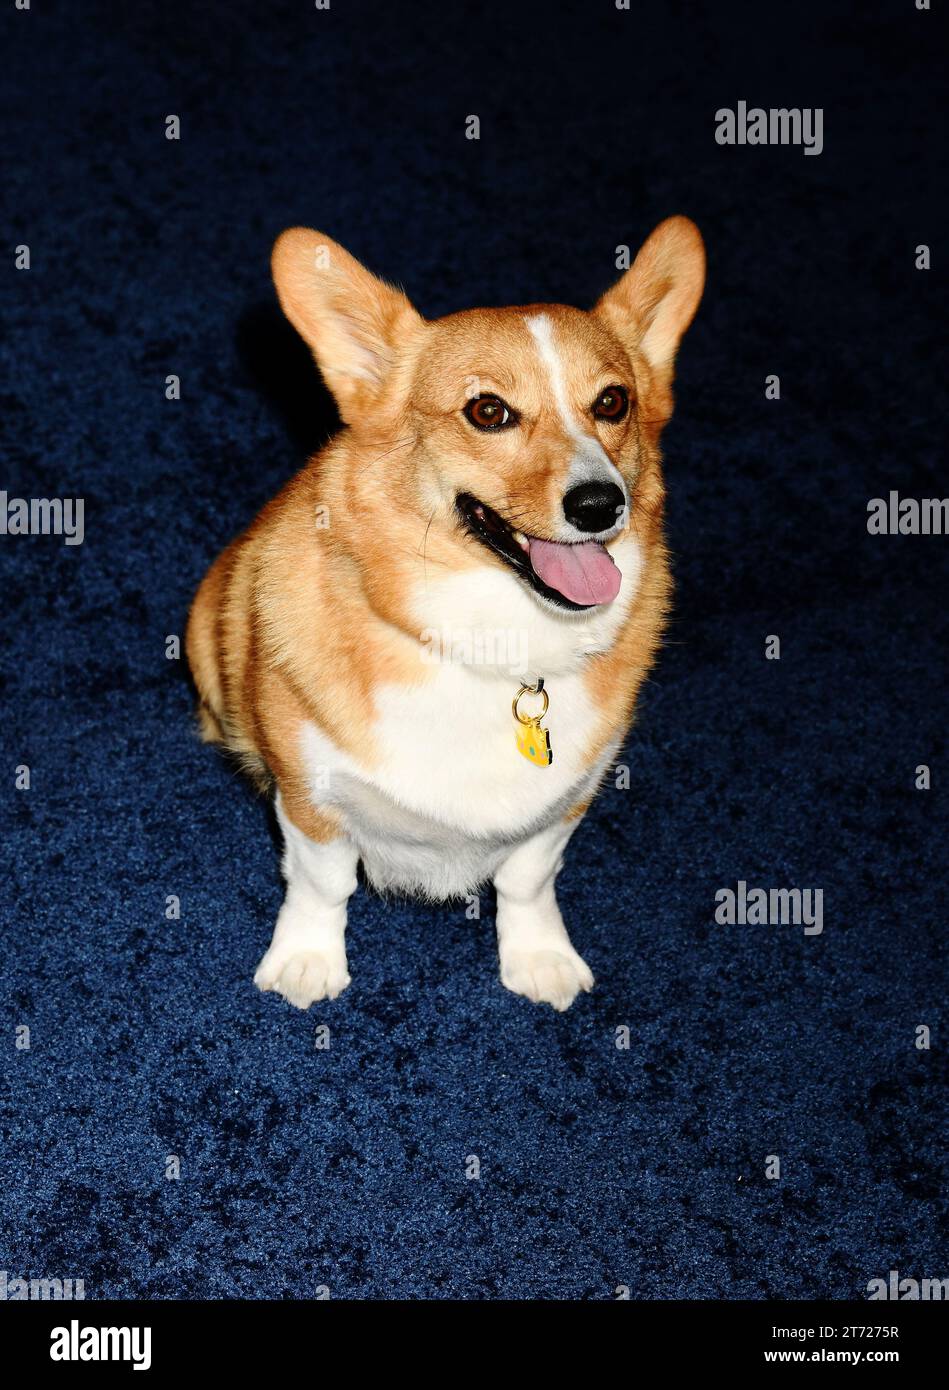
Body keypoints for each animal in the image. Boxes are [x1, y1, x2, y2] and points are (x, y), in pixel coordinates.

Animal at [187, 222, 705, 1017]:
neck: (494, 644)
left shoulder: (564, 806)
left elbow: (528, 881)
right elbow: (321, 885)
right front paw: (306, 961)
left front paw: (539, 958)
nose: (600, 504)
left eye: (613, 402)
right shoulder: (310, 798)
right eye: (488, 411)